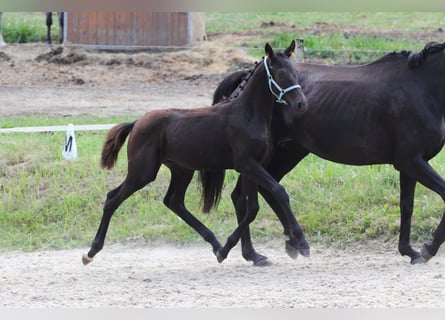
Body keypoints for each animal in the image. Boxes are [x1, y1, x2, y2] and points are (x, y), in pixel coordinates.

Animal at [80, 40, 308, 264]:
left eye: (296, 73)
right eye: (280, 74)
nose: (301, 104)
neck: (247, 115)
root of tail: (137, 123)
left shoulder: (252, 167)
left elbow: (252, 208)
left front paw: (235, 252)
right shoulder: (247, 164)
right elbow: (278, 192)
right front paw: (302, 243)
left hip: (181, 170)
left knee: (174, 202)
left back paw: (215, 244)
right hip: (142, 172)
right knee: (112, 198)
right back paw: (90, 252)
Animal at [208, 40, 445, 264]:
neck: (420, 88)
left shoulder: (409, 165)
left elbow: (407, 206)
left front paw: (410, 251)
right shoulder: (411, 161)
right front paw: (428, 248)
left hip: (287, 152)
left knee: (259, 192)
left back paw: (285, 245)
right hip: (262, 157)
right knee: (245, 196)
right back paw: (255, 253)